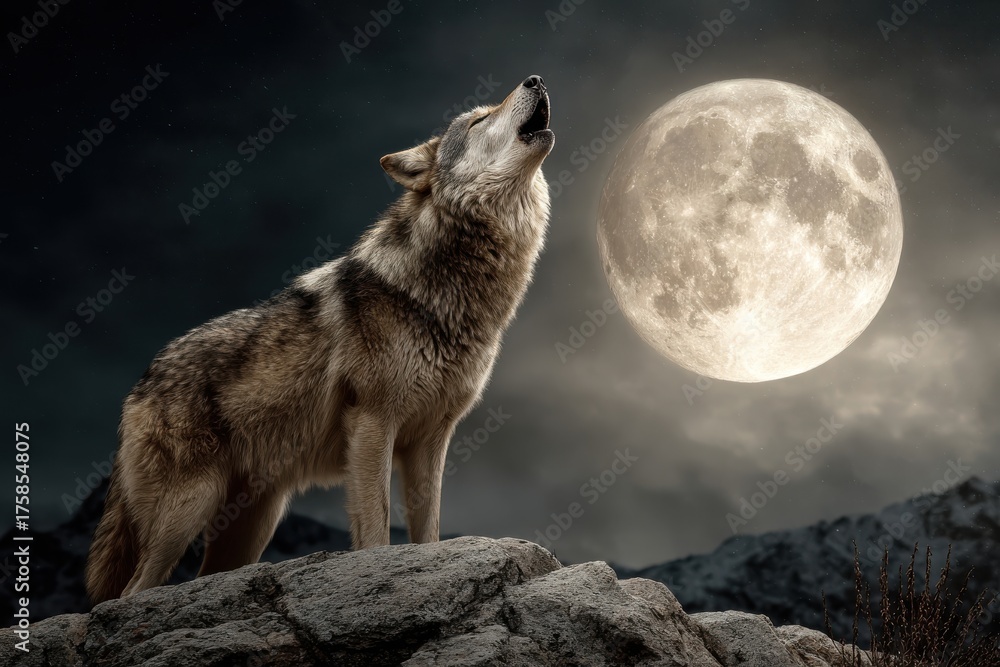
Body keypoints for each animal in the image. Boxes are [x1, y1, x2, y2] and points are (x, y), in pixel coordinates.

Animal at [86, 75, 554, 603]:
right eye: (478, 120)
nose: (535, 79)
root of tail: (141, 381)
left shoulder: (431, 441)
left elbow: (429, 532)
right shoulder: (372, 422)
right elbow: (376, 529)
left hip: (251, 525)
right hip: (188, 508)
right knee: (131, 592)